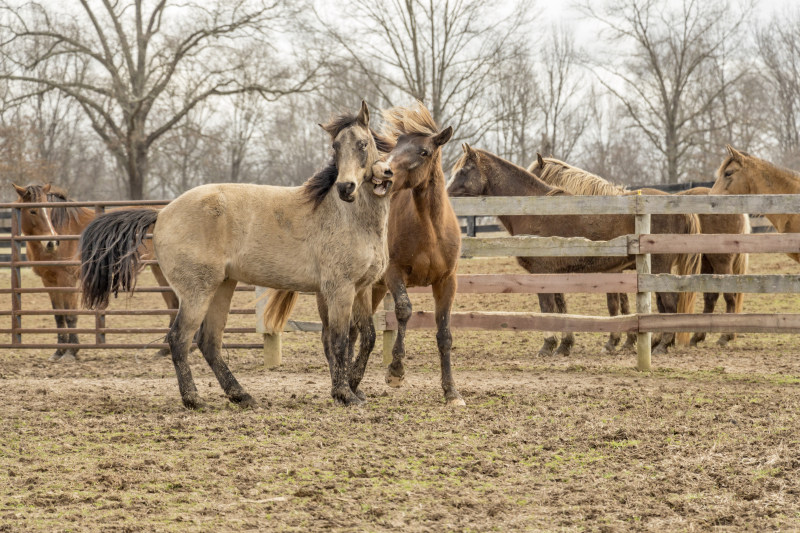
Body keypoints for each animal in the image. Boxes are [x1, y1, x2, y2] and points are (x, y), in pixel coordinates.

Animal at [12, 181, 178, 360]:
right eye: (32, 211)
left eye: (49, 211)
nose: (51, 243)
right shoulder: (49, 280)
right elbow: (59, 315)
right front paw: (58, 352)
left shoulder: (68, 279)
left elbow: (70, 315)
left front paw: (71, 351)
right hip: (159, 270)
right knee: (174, 304)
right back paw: (165, 350)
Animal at [81, 101, 394, 408]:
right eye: (335, 146)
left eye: (363, 144)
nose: (345, 188)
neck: (348, 217)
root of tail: (163, 213)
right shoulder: (339, 289)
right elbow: (340, 340)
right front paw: (345, 394)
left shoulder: (361, 289)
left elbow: (367, 337)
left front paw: (353, 388)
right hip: (197, 292)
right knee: (180, 339)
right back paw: (194, 399)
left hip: (222, 286)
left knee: (209, 342)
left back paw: (241, 395)